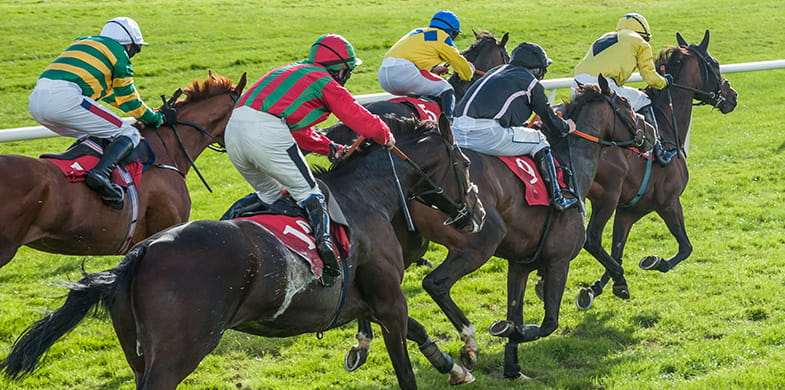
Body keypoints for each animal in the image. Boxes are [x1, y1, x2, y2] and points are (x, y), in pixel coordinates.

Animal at [0, 116, 484, 390]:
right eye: (463, 162)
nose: (477, 213)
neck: (368, 197)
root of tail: (141, 254)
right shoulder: (388, 300)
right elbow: (405, 360)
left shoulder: (367, 302)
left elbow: (418, 330)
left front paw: (454, 366)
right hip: (175, 356)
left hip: (137, 354)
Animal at [572, 29, 740, 310]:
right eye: (714, 64)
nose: (733, 96)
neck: (666, 124)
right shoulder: (668, 201)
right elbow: (685, 247)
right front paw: (653, 262)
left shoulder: (629, 210)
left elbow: (617, 250)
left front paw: (599, 287)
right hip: (606, 197)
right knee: (591, 238)